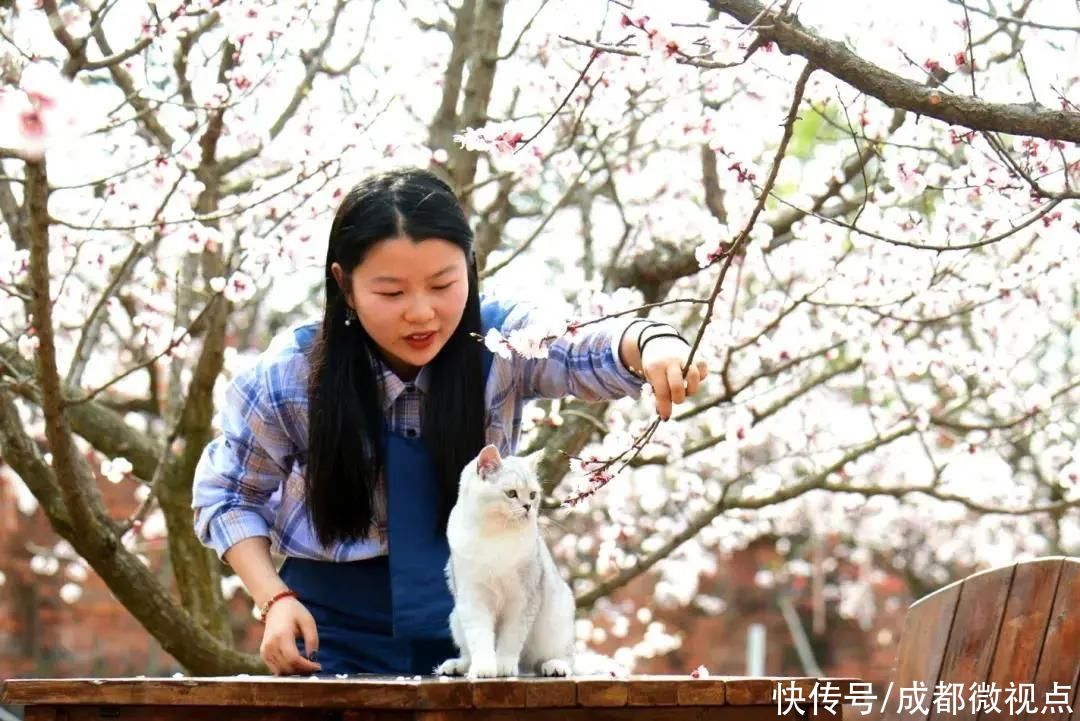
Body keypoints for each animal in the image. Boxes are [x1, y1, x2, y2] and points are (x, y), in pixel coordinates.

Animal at [429, 442, 617, 677]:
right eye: (511, 494)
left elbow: (510, 639)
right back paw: (457, 666)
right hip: (456, 618)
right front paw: (484, 668)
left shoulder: (523, 599)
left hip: (557, 620)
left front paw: (503, 667)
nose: (528, 507)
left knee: (560, 660)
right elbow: (480, 639)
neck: (496, 536)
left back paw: (554, 666)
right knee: (468, 652)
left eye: (533, 495)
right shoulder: (474, 598)